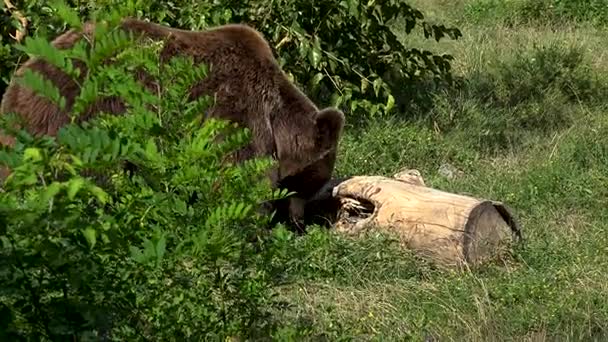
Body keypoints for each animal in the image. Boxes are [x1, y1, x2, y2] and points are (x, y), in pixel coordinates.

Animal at [0, 18, 342, 227]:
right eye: (311, 181)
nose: (300, 222)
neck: (276, 117)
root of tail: (17, 83)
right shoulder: (236, 106)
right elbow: (237, 175)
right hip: (81, 116)